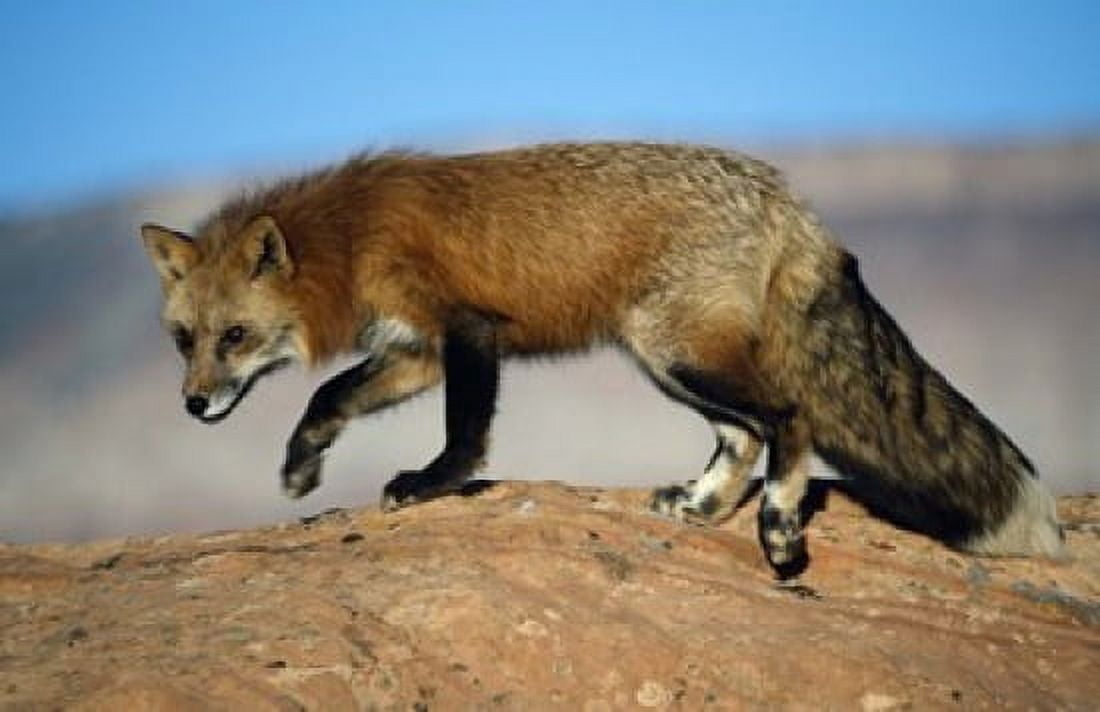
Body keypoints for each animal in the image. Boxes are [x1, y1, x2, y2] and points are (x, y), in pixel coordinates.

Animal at [141, 141, 1064, 577]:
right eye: (185, 340)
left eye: (234, 338)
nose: (191, 404)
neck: (351, 235)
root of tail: (785, 196)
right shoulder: (414, 350)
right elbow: (326, 399)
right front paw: (301, 467)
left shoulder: (467, 330)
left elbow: (464, 435)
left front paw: (433, 485)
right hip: (663, 356)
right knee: (743, 434)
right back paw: (701, 506)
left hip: (675, 350)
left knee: (787, 417)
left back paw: (776, 526)